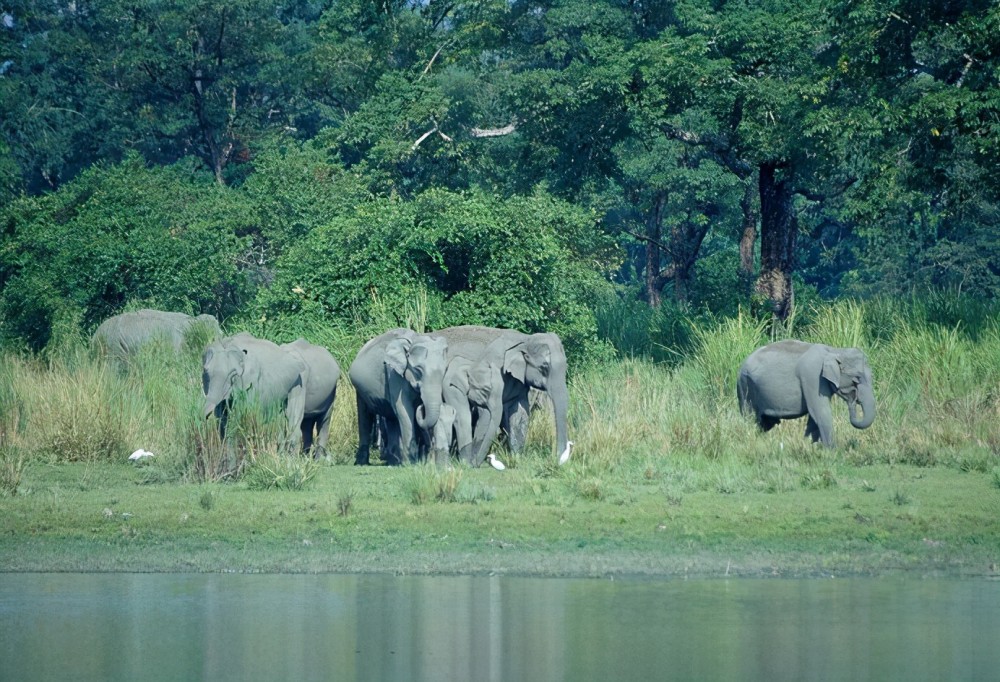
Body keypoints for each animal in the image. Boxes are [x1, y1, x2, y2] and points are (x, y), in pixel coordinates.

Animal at [199, 332, 340, 454]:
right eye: (206, 373)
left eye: (233, 375)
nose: (202, 419)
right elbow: (223, 418)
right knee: (303, 424)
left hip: (325, 391)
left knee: (321, 421)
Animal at [348, 328, 450, 464]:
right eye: (418, 370)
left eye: (444, 371)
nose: (422, 407)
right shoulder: (394, 375)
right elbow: (404, 411)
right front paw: (411, 463)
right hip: (359, 389)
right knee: (365, 416)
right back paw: (362, 463)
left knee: (390, 416)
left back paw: (393, 462)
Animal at [432, 326, 572, 464]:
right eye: (544, 367)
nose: (559, 459)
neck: (526, 339)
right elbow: (488, 413)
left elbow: (518, 412)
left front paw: (517, 458)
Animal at [736, 340, 876, 446]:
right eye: (856, 379)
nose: (854, 398)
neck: (834, 350)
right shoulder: (813, 377)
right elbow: (820, 412)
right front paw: (833, 451)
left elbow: (814, 418)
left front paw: (811, 446)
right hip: (745, 386)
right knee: (750, 418)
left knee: (765, 423)